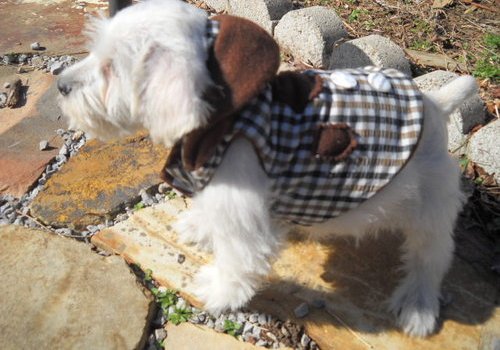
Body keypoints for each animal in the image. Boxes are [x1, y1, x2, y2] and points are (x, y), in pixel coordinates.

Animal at [57, 0, 476, 336]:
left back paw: (417, 307)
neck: (227, 117)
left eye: (111, 69)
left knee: (430, 258)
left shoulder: (240, 212)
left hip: (430, 207)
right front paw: (199, 227)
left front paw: (218, 292)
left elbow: (237, 258)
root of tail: (435, 104)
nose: (60, 85)